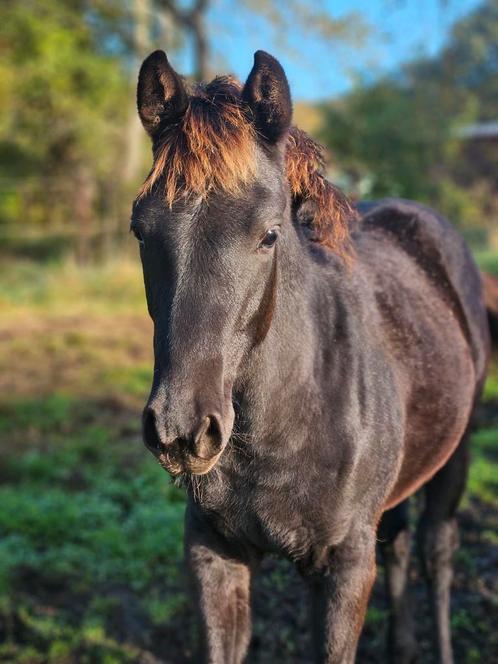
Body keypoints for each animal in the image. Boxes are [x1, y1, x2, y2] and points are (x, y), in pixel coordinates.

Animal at [131, 49, 490, 660]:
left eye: (269, 235)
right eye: (140, 230)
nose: (182, 431)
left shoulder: (344, 567)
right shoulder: (213, 555)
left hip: (456, 453)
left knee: (436, 554)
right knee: (398, 546)